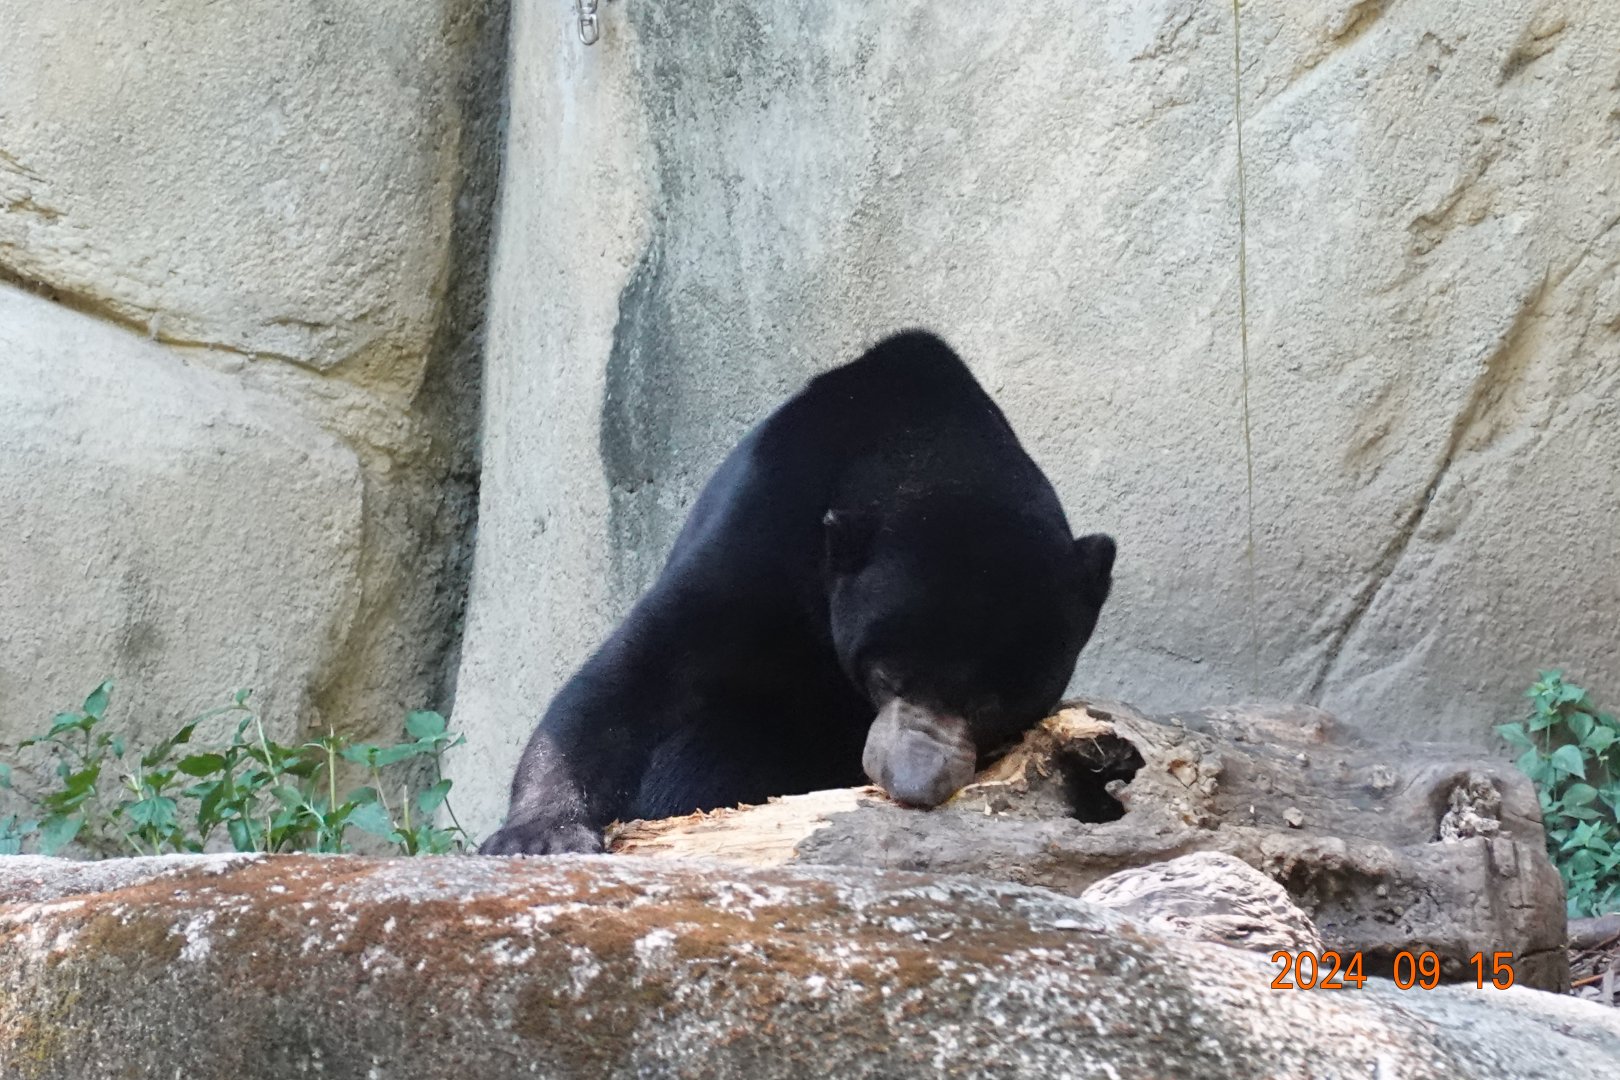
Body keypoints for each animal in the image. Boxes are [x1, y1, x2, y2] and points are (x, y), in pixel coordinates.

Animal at [480, 330, 1115, 855]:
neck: (924, 446)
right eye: (886, 676)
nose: (914, 781)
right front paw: (539, 835)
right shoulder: (766, 520)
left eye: (993, 703)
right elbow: (641, 666)